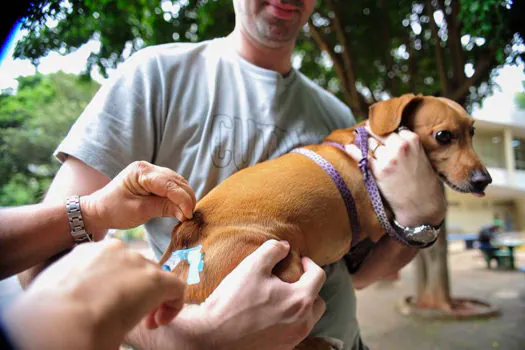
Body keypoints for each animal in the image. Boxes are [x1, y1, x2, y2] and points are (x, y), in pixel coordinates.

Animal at [158, 94, 490, 348]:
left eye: (473, 132)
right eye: (444, 136)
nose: (484, 180)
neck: (366, 145)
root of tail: (188, 234)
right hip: (284, 264)